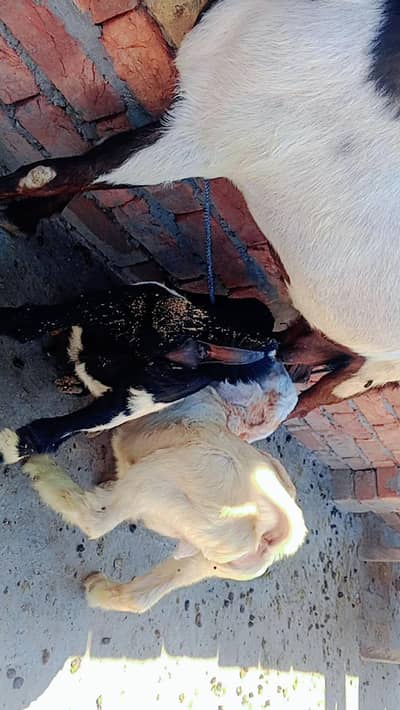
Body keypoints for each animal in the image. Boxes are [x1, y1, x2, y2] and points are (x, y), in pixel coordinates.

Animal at [1, 0, 397, 415]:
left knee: (306, 400)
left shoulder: (211, 137)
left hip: (373, 369)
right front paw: (22, 219)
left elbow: (56, 173)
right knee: (288, 348)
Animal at [23, 387, 306, 613]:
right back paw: (99, 589)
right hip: (205, 560)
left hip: (158, 475)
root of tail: (280, 531)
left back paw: (42, 471)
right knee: (146, 594)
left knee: (96, 520)